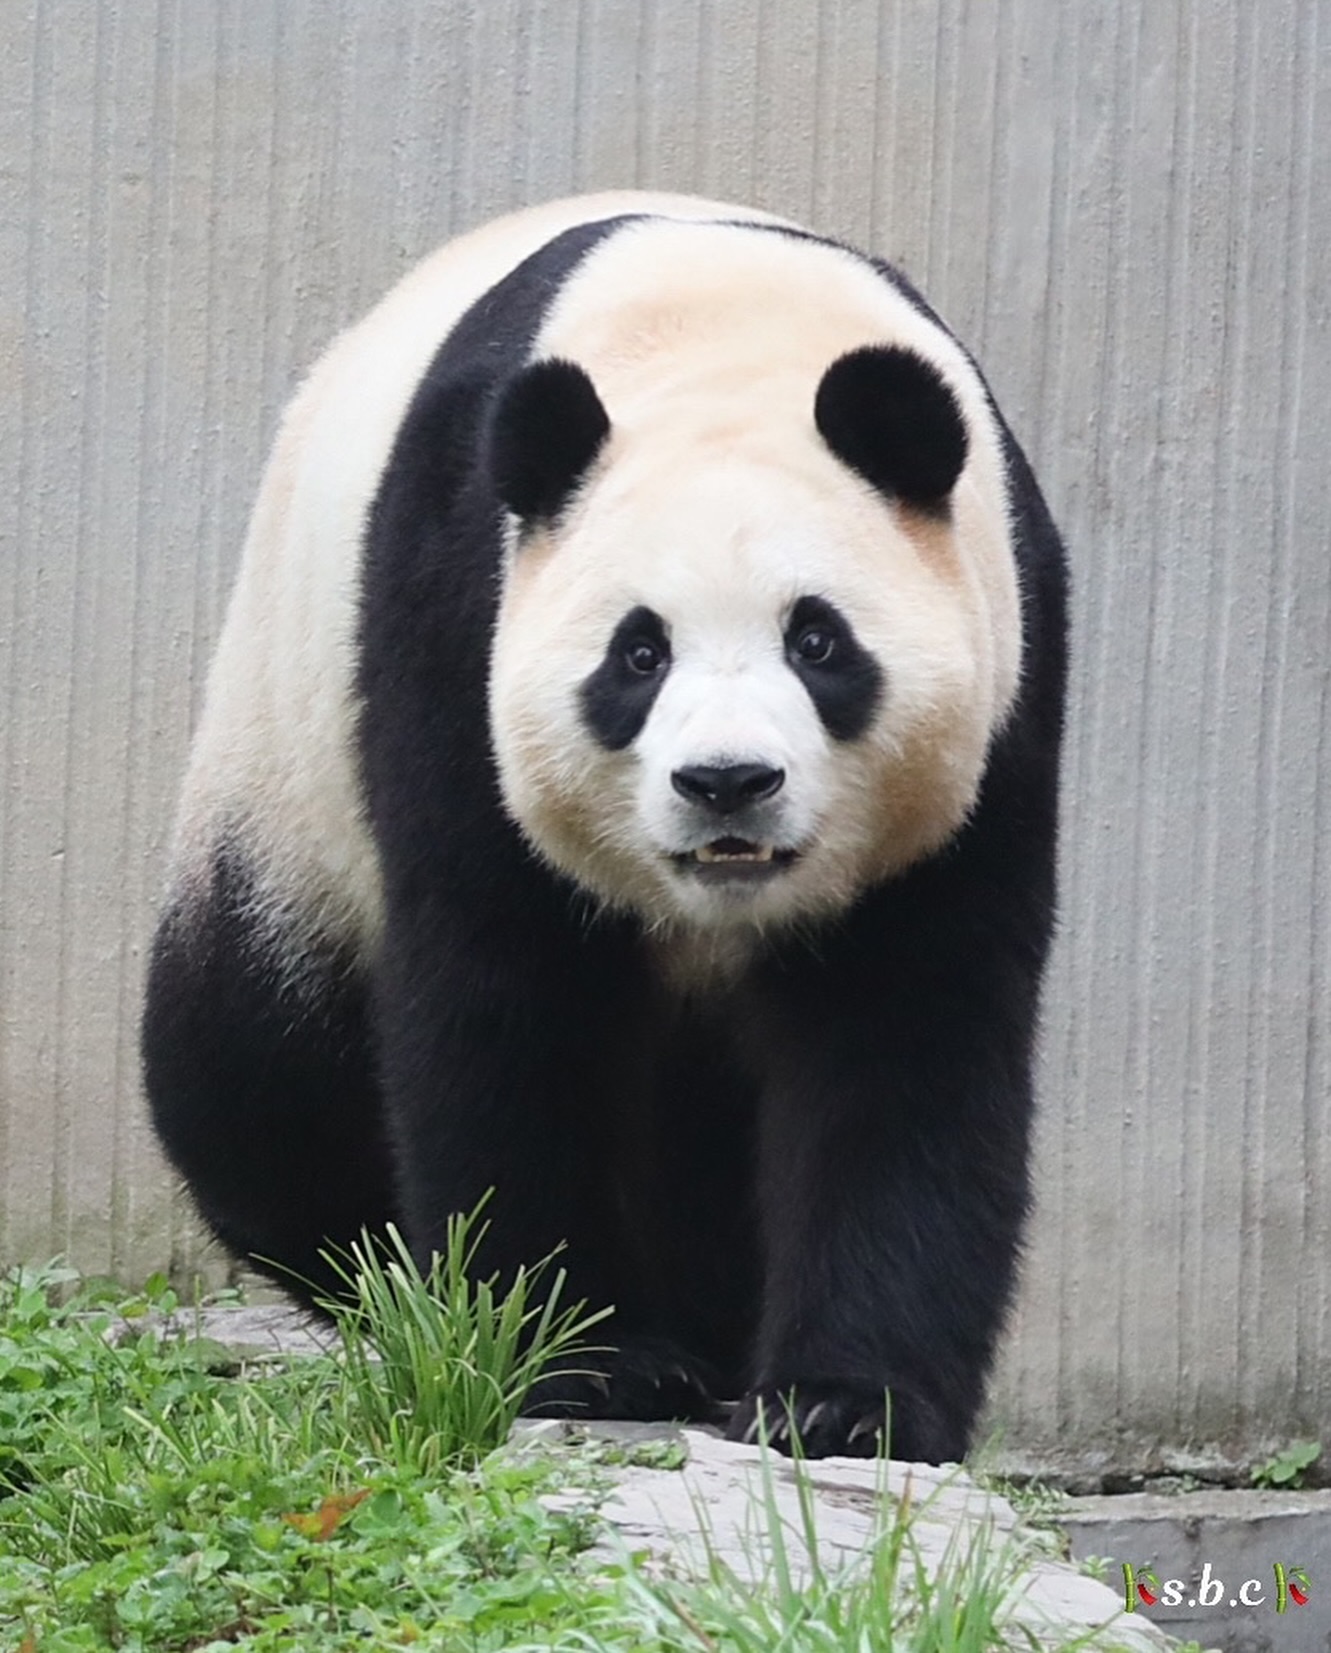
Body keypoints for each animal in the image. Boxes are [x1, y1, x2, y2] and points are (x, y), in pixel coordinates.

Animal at [140, 187, 1064, 1467]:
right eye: (638, 653)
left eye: (816, 641)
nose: (726, 782)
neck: (725, 333)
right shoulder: (457, 618)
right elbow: (509, 1001)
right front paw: (581, 1360)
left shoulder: (998, 699)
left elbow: (906, 1040)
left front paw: (841, 1405)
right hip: (283, 769)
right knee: (252, 1063)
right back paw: (383, 1272)